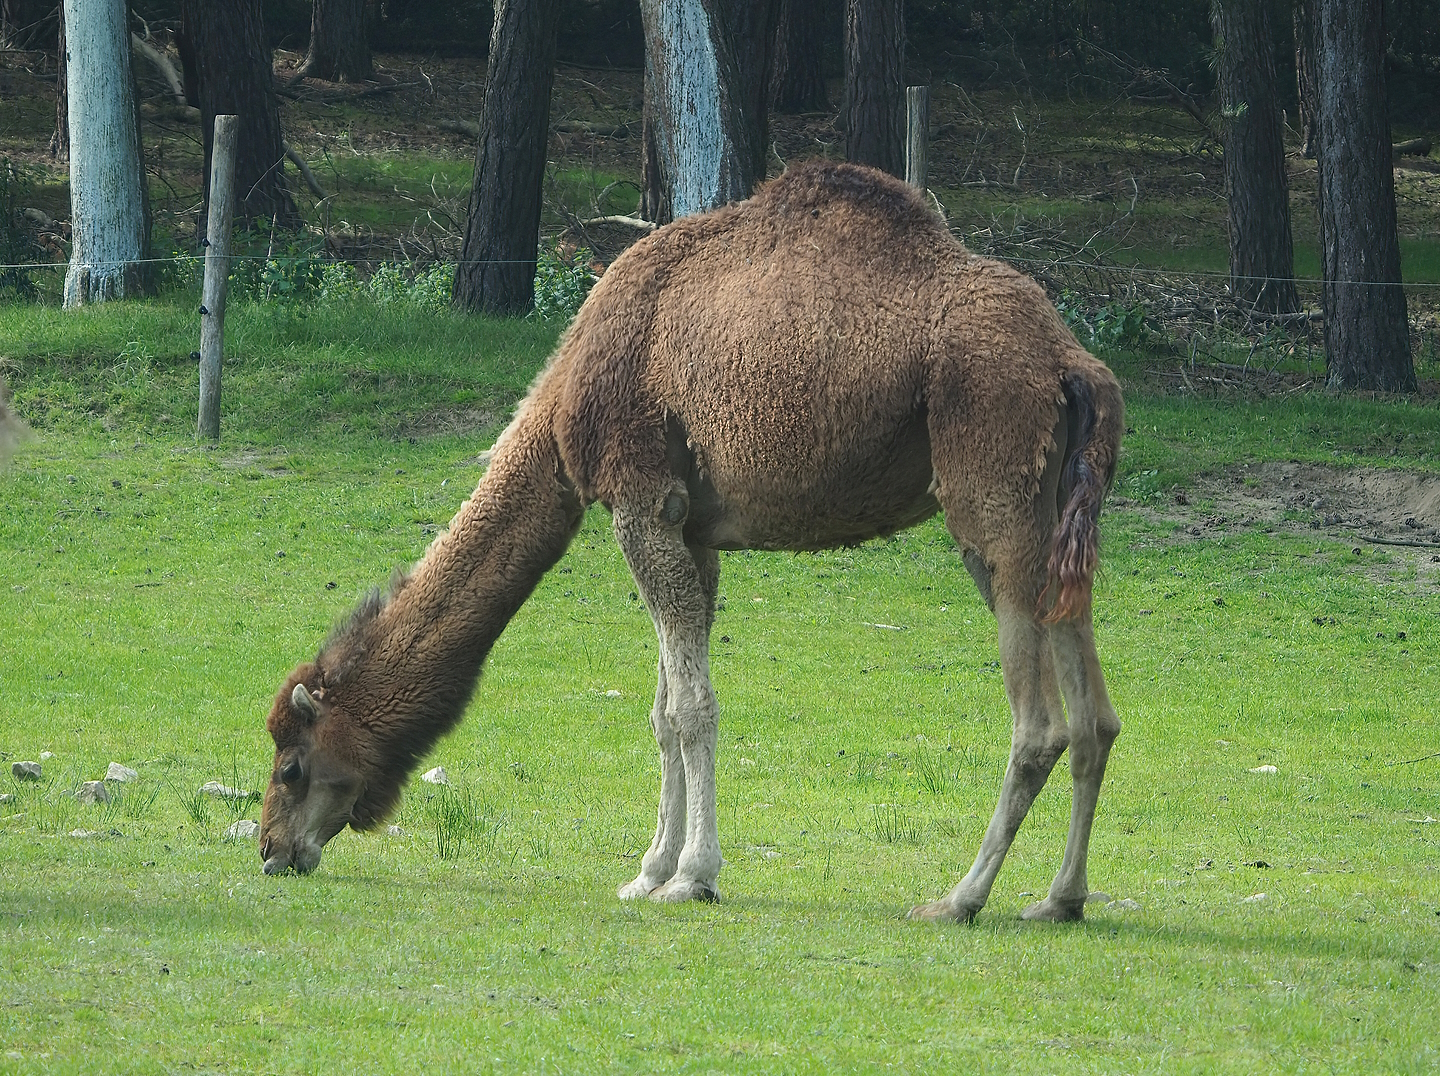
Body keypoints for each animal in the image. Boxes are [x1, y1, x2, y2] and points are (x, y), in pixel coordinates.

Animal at [260, 160, 1124, 923]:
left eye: (292, 765)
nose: (271, 850)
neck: (563, 407)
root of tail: (1075, 364)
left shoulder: (642, 500)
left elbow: (689, 709)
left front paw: (691, 877)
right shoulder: (693, 527)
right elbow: (662, 707)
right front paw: (648, 870)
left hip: (992, 501)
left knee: (1039, 725)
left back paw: (959, 898)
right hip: (1054, 524)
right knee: (1095, 717)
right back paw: (1059, 899)